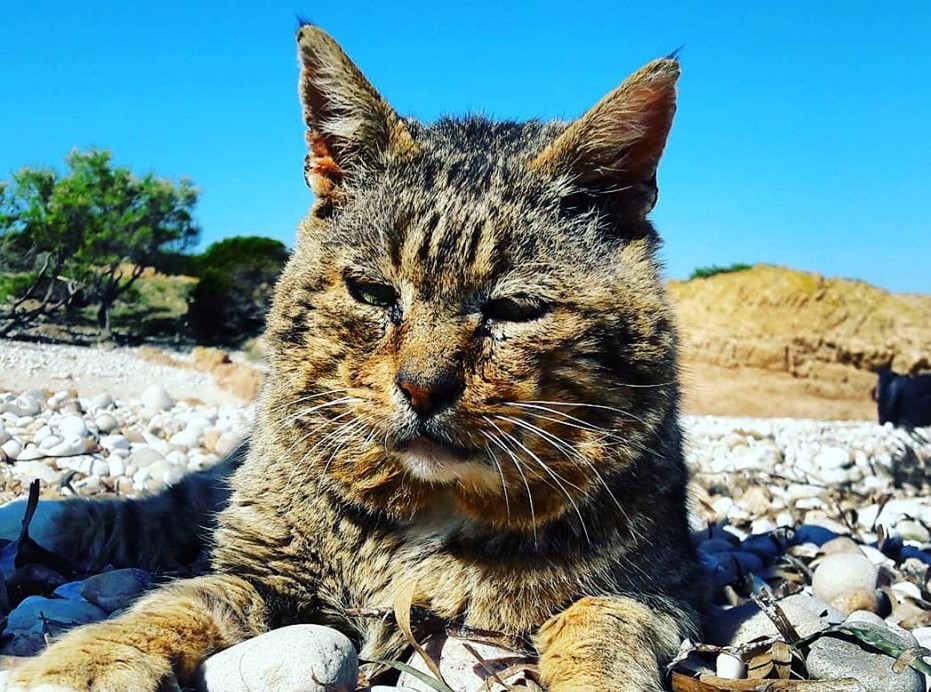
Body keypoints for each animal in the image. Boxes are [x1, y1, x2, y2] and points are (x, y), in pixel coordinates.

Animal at [7, 23, 708, 692]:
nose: (423, 388)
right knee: (165, 507)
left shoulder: (669, 593)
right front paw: (88, 660)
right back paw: (54, 519)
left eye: (514, 310)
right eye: (373, 293)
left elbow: (599, 617)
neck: (427, 513)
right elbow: (180, 603)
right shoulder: (261, 575)